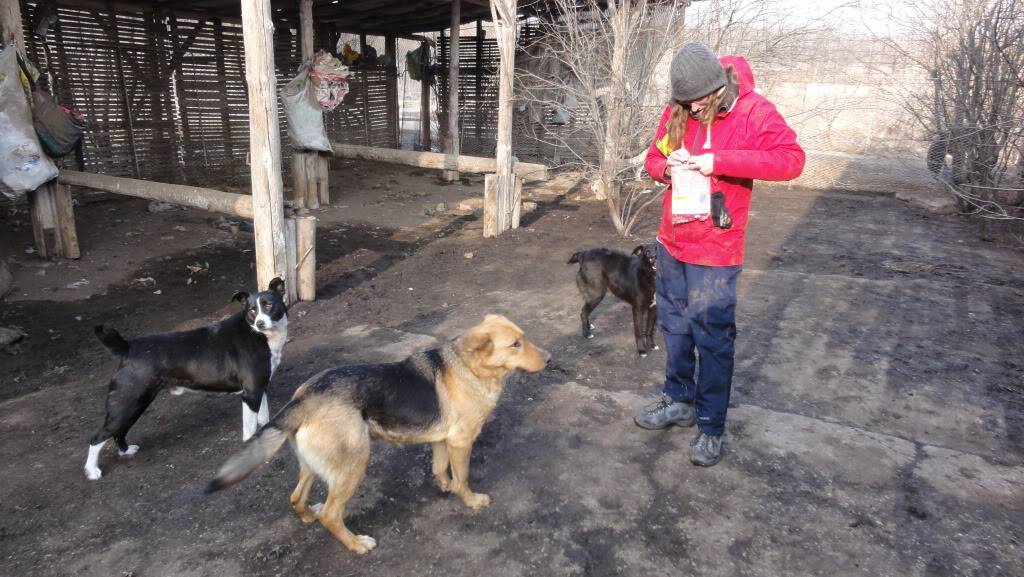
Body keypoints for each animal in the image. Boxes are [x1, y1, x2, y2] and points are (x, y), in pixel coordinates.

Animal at [82, 276, 292, 481]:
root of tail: (127, 347)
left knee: (119, 431)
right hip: (128, 402)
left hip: (133, 404)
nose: (260, 323)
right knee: (97, 437)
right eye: (252, 310)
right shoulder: (250, 393)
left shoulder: (260, 387)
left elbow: (264, 418)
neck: (258, 334)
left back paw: (125, 451)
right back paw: (92, 471)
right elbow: (250, 429)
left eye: (269, 305)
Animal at [202, 315, 548, 553]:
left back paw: (308, 516)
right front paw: (471, 500)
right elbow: (462, 477)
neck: (471, 367)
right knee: (332, 514)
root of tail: (304, 398)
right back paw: (356, 544)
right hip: (355, 463)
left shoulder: (441, 440)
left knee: (297, 497)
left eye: (524, 338)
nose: (550, 359)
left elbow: (440, 469)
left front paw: (445, 487)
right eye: (515, 345)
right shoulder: (461, 442)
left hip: (315, 464)